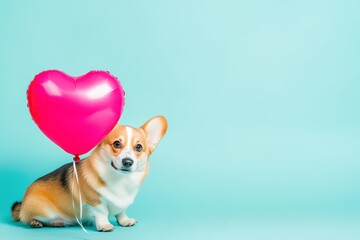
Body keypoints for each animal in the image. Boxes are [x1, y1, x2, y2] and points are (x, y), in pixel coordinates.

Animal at [11, 115, 168, 232]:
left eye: (139, 147)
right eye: (117, 144)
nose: (128, 162)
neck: (120, 180)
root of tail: (23, 202)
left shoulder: (122, 203)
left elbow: (121, 211)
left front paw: (124, 221)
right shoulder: (95, 201)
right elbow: (102, 212)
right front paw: (104, 225)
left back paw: (58, 222)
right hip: (41, 209)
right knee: (27, 218)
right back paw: (37, 222)